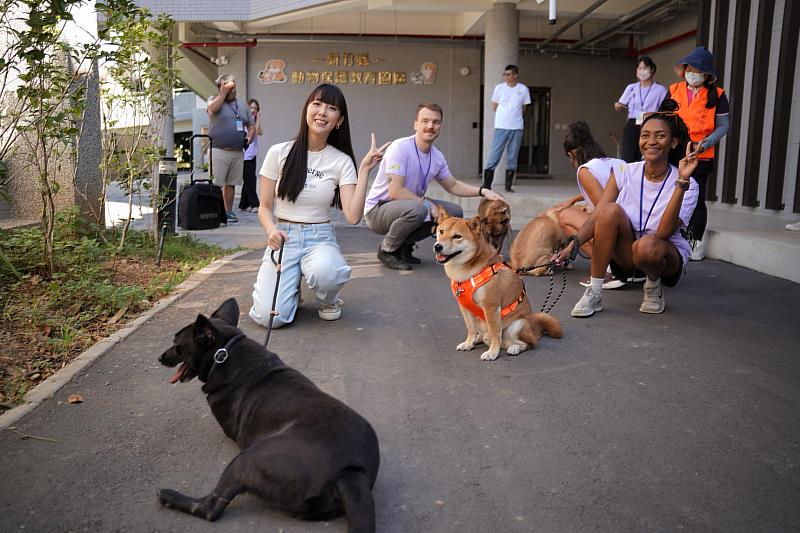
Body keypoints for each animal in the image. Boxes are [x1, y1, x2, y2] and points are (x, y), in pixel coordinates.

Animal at [159, 298, 382, 528]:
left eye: (177, 345)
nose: (160, 357)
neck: (226, 353)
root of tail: (350, 472)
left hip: (247, 459)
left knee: (210, 508)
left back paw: (170, 496)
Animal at [432, 210, 564, 360]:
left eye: (457, 236)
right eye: (441, 231)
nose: (438, 246)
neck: (468, 273)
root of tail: (533, 329)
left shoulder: (491, 307)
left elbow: (495, 334)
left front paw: (493, 353)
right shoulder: (464, 307)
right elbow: (470, 329)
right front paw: (469, 343)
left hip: (516, 326)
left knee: (529, 343)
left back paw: (514, 348)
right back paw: (479, 339)